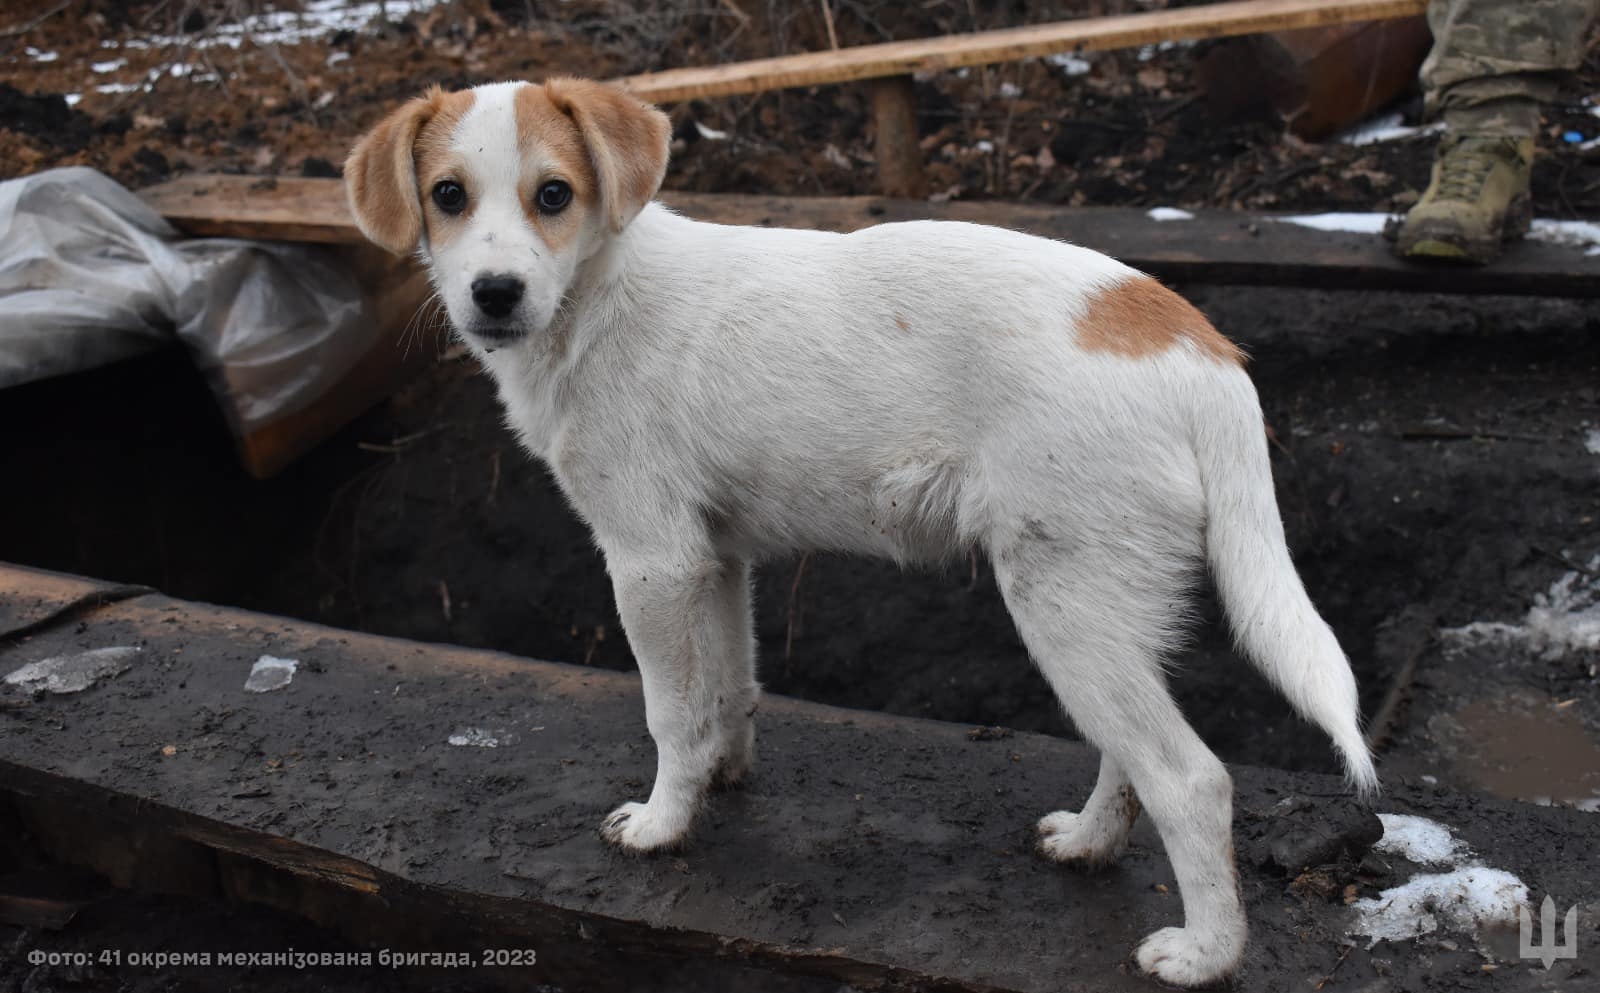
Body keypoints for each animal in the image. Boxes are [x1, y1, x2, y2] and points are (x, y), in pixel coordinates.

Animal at [347, 79, 1376, 985]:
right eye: (447, 196)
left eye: (554, 194)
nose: (494, 293)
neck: (600, 294)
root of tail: (1200, 344)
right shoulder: (716, 560)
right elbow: (730, 689)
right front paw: (722, 779)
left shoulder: (650, 563)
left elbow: (670, 713)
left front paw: (663, 824)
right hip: (1105, 609)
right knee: (1132, 755)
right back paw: (1088, 842)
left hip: (1062, 604)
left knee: (1192, 780)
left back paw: (1206, 954)